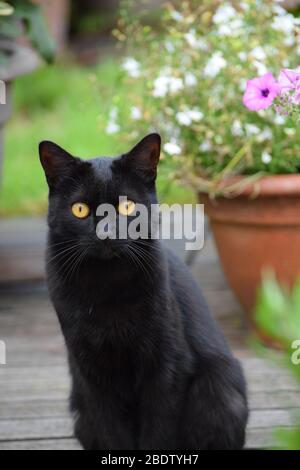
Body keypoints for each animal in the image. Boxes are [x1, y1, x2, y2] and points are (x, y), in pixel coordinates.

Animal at [38, 134, 247, 450]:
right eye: (80, 209)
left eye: (127, 207)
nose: (106, 232)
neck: (107, 286)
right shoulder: (90, 373)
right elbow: (112, 433)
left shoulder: (166, 367)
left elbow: (158, 432)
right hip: (81, 412)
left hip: (219, 392)